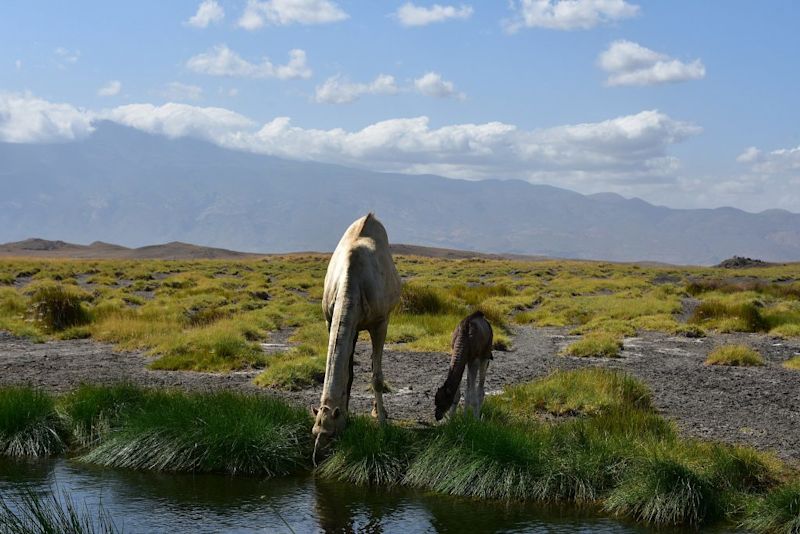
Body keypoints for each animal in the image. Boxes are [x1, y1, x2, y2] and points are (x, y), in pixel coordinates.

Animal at [310, 216, 400, 462]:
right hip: (355, 327)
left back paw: (379, 411)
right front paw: (347, 411)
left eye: (332, 433)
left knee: (375, 367)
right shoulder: (330, 320)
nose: (316, 457)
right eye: (314, 431)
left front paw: (382, 424)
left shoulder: (380, 323)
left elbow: (377, 377)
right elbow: (348, 373)